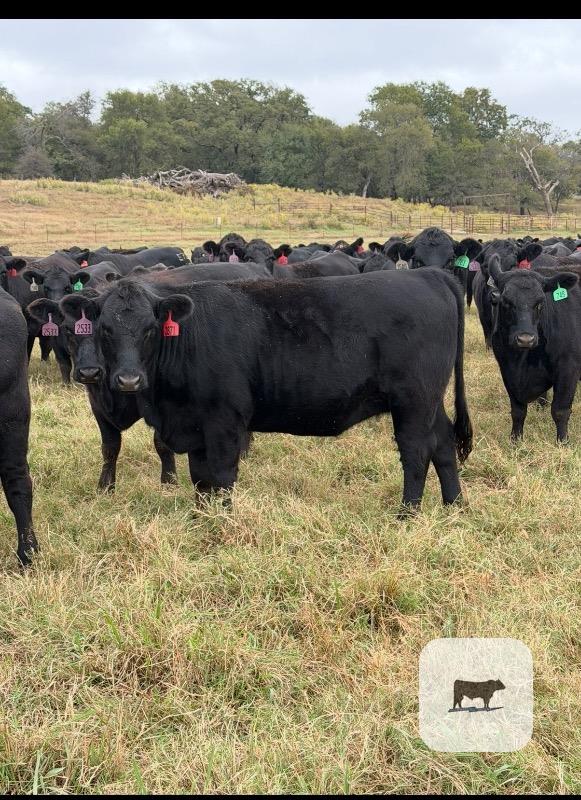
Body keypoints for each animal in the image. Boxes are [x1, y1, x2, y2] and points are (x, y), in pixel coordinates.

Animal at [80, 268, 473, 511]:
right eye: (105, 329)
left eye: (150, 329)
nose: (128, 380)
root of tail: (429, 274)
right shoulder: (195, 426)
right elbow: (200, 480)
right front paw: (200, 518)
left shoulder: (224, 421)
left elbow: (221, 476)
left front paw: (222, 525)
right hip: (429, 402)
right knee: (443, 444)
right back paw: (454, 505)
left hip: (414, 401)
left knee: (416, 452)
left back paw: (407, 514)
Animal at [487, 254, 580, 442]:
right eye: (506, 301)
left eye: (540, 303)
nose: (525, 339)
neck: (522, 361)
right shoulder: (507, 370)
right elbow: (518, 411)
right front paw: (515, 440)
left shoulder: (568, 368)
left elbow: (560, 410)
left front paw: (562, 442)